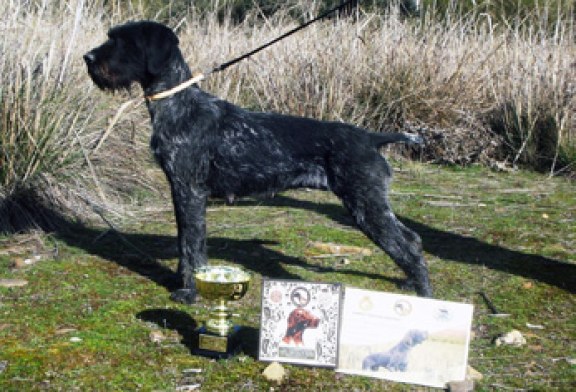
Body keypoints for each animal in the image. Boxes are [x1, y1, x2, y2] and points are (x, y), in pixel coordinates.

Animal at [84, 21, 432, 304]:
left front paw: (189, 292)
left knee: (409, 246)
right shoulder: (181, 191)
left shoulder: (189, 190)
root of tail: (371, 137)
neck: (179, 106)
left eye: (122, 41)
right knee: (412, 239)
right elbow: (186, 242)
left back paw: (424, 296)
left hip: (365, 206)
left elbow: (192, 245)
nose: (88, 58)